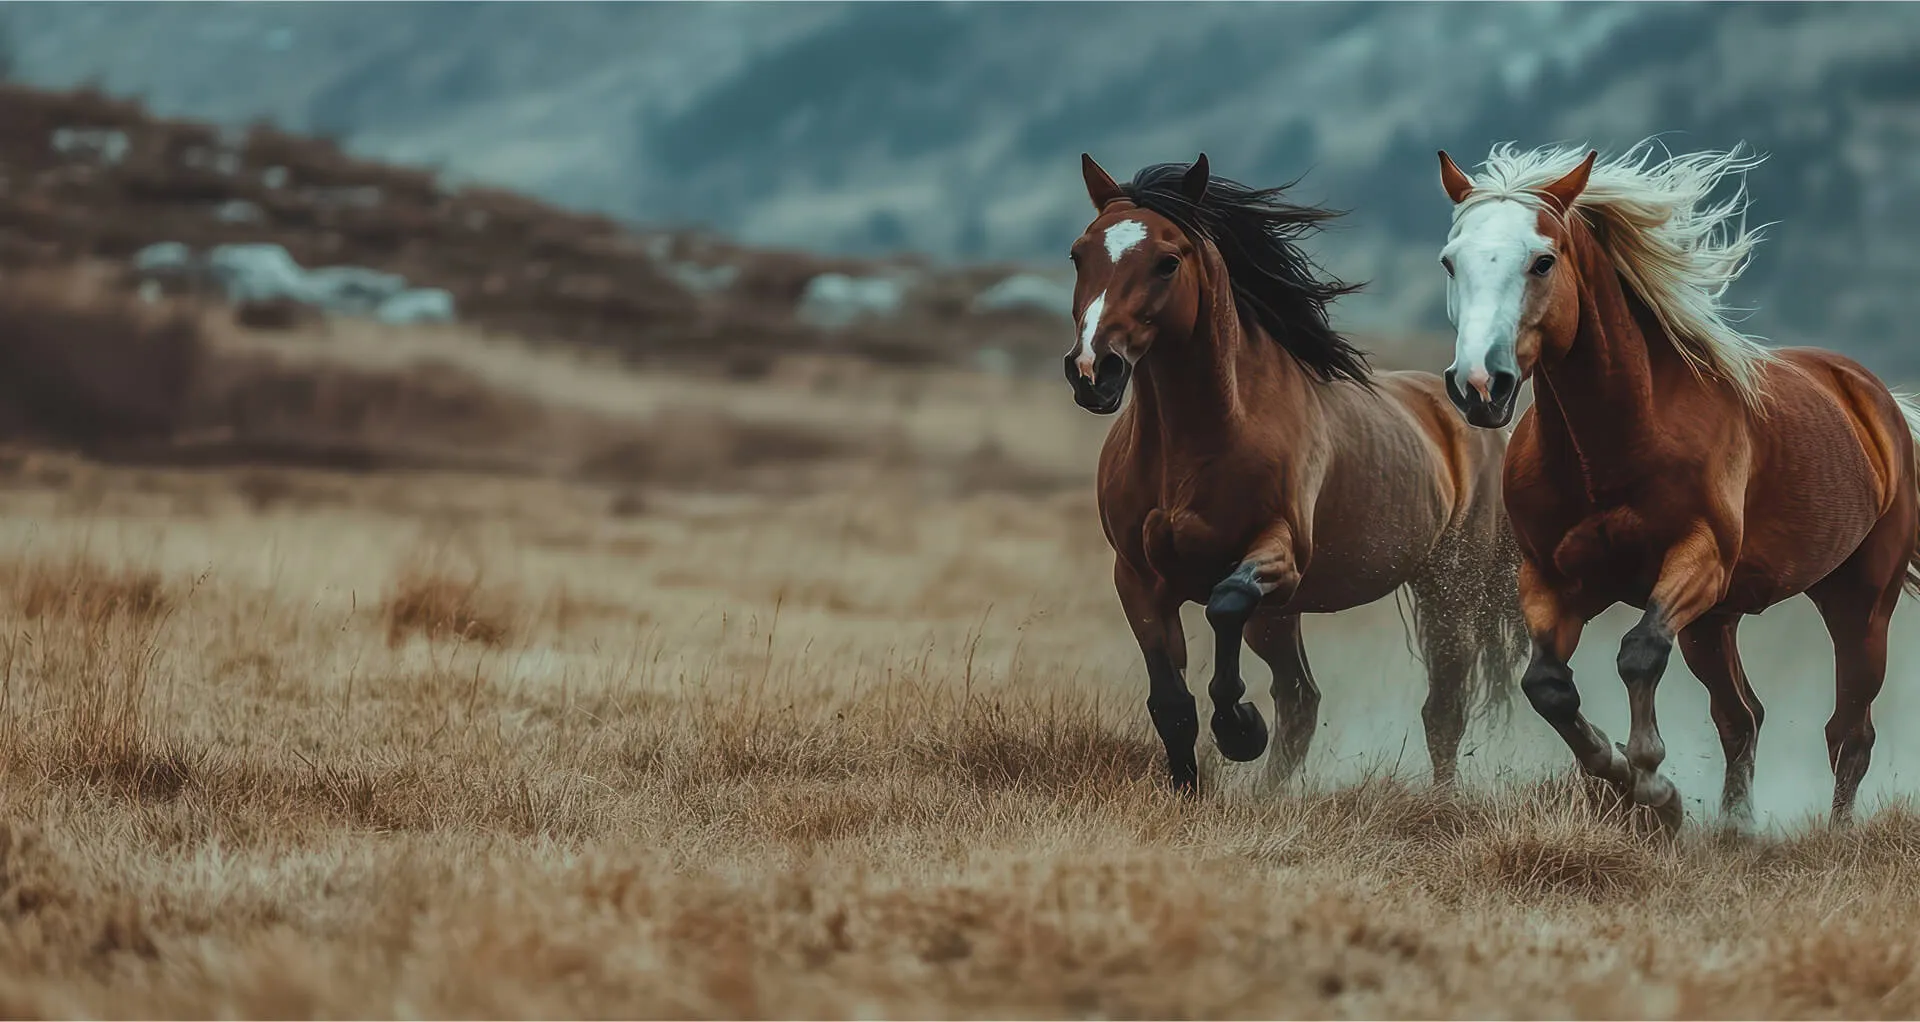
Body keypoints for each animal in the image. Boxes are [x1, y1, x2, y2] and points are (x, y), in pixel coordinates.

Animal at [1066, 152, 1527, 793]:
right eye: (1078, 254)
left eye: (1167, 261)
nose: (1093, 371)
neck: (1197, 443)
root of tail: (1477, 412)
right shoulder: (1138, 577)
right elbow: (1172, 704)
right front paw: (1190, 790)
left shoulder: (1277, 555)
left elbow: (1225, 603)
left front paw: (1239, 729)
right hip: (1286, 616)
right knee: (1303, 701)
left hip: (1448, 589)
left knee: (1443, 708)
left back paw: (1441, 800)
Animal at [1433, 139, 1920, 830]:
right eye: (1451, 261)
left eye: (1543, 261)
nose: (1480, 385)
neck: (1610, 450)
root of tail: (1877, 401)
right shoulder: (1552, 579)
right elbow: (1548, 686)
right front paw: (1625, 776)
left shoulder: (1697, 560)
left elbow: (1638, 652)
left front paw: (1652, 782)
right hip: (1714, 623)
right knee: (1742, 716)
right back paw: (1736, 828)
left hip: (1858, 602)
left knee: (1849, 731)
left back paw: (1836, 833)